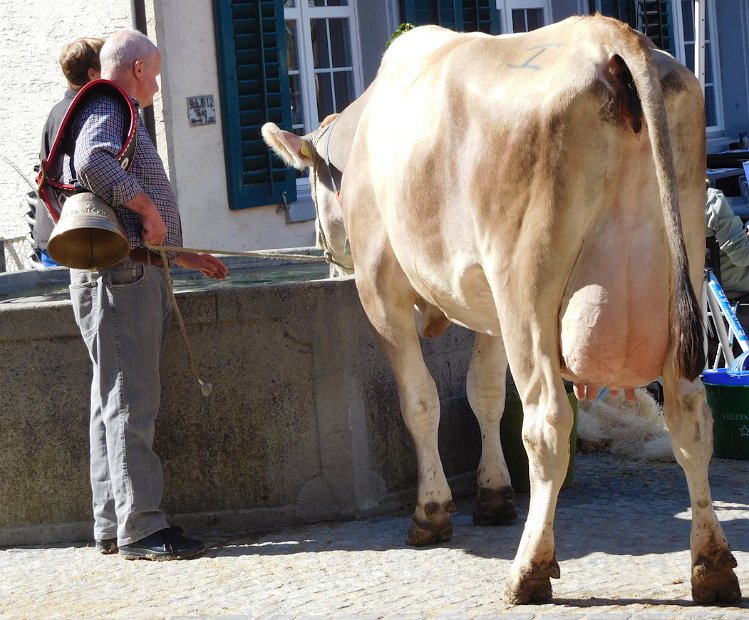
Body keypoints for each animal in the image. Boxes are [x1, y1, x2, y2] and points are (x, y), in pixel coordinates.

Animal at [262, 17, 736, 608]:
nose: (325, 257)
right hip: (680, 272)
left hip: (526, 291)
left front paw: (432, 511)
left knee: (548, 424)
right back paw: (711, 565)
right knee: (690, 418)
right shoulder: (486, 309)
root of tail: (611, 38)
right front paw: (492, 495)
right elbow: (483, 395)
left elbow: (421, 402)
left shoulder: (382, 295)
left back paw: (528, 570)